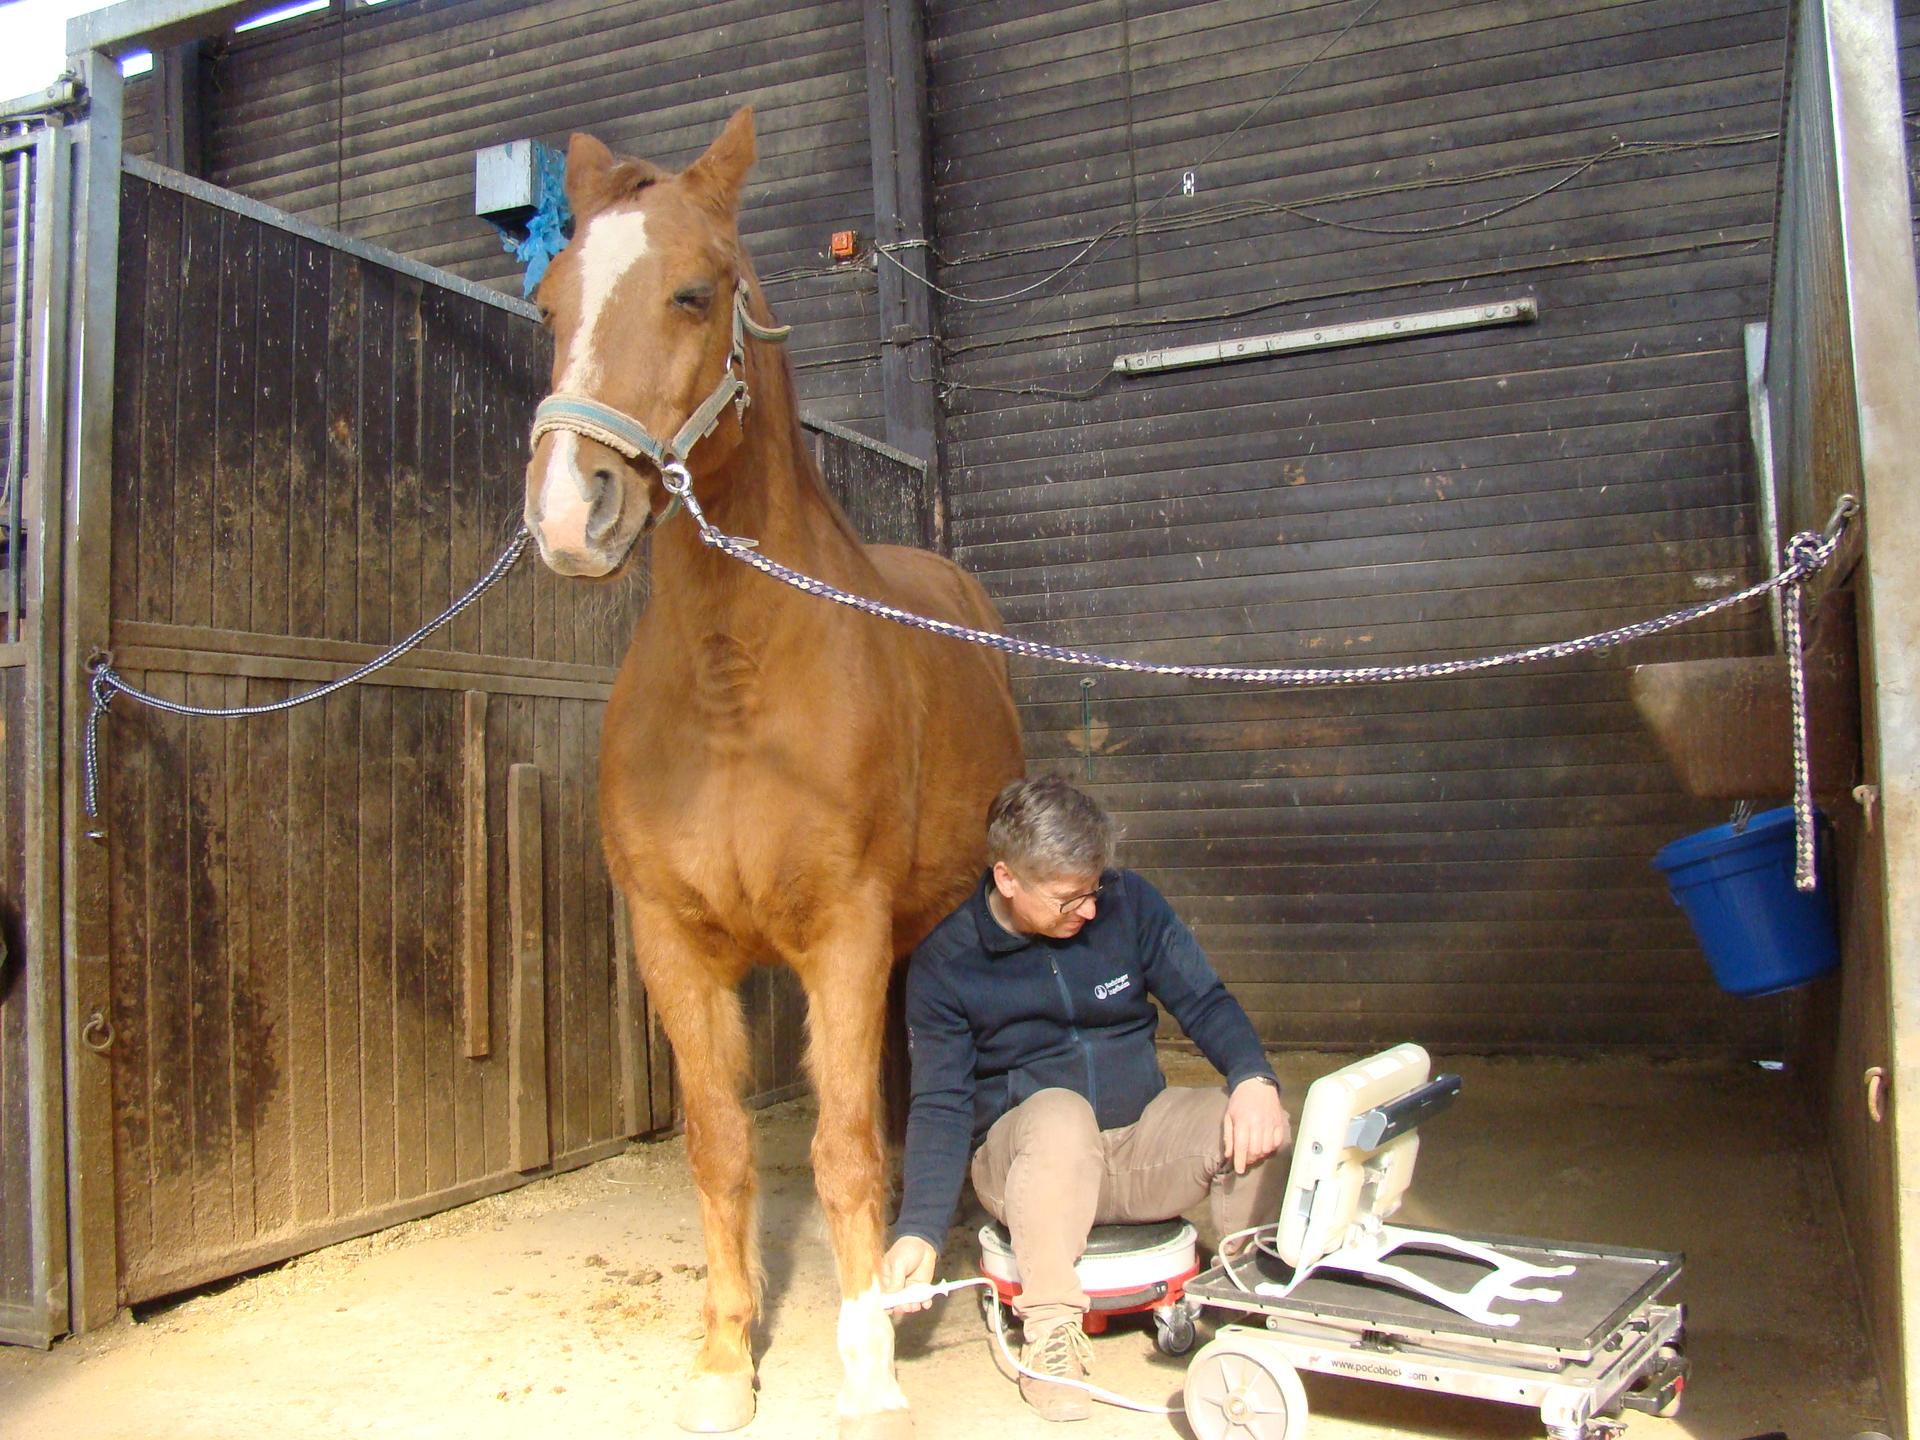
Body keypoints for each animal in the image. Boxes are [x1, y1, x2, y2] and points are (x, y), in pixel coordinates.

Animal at [521, 109, 1024, 1437]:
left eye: (695, 293)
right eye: (548, 303)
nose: (570, 513)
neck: (733, 683)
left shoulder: (842, 932)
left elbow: (842, 1144)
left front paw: (867, 1368)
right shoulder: (675, 944)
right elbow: (721, 1146)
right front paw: (721, 1361)